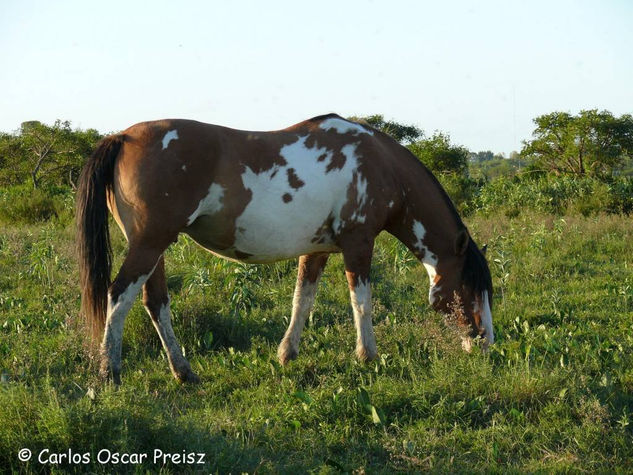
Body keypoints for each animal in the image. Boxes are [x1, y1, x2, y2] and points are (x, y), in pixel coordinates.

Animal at [76, 113, 494, 384]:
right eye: (471, 286)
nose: (486, 343)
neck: (378, 163)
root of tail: (123, 137)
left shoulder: (317, 249)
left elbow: (302, 300)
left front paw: (286, 354)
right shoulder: (358, 244)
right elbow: (361, 302)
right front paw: (367, 356)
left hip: (156, 248)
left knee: (155, 301)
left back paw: (184, 372)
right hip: (150, 243)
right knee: (119, 296)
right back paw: (109, 372)